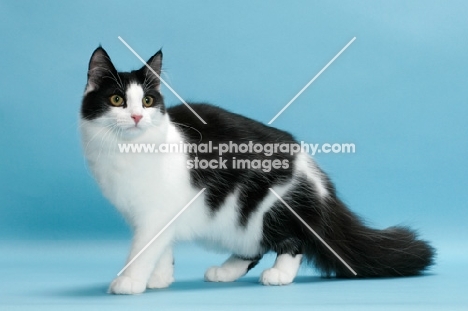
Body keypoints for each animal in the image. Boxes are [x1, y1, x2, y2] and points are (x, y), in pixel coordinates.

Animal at [80, 45, 436, 294]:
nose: (137, 117)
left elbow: (142, 251)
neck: (127, 152)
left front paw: (129, 282)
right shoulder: (162, 215)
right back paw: (224, 272)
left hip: (265, 208)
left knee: (293, 242)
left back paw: (278, 275)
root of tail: (317, 179)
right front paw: (160, 279)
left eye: (148, 101)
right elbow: (163, 250)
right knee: (253, 250)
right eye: (117, 100)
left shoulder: (155, 215)